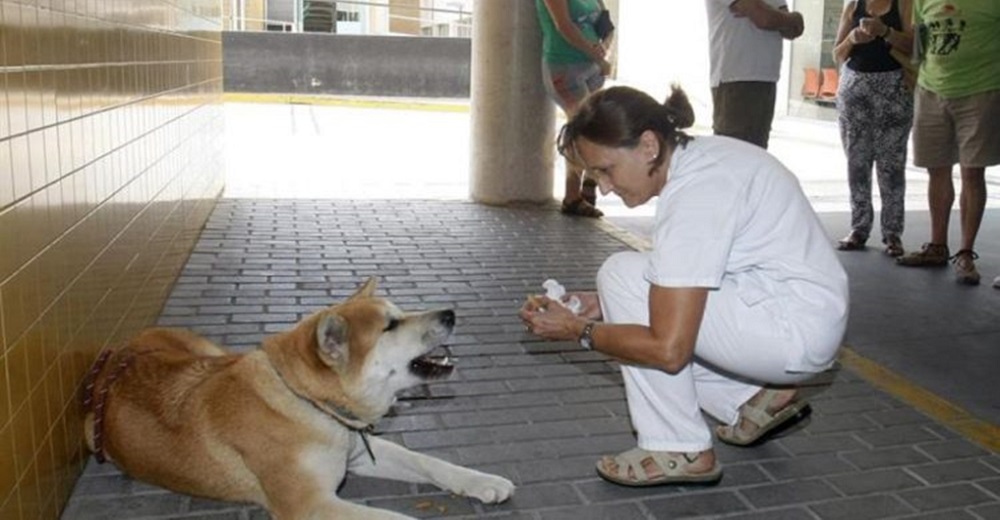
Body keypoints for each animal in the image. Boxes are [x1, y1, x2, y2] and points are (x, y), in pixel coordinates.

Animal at [85, 278, 516, 520]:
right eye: (391, 326)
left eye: (398, 312)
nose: (451, 313)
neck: (309, 404)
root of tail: (119, 355)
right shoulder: (311, 504)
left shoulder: (359, 452)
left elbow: (429, 462)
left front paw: (481, 481)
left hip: (212, 351)